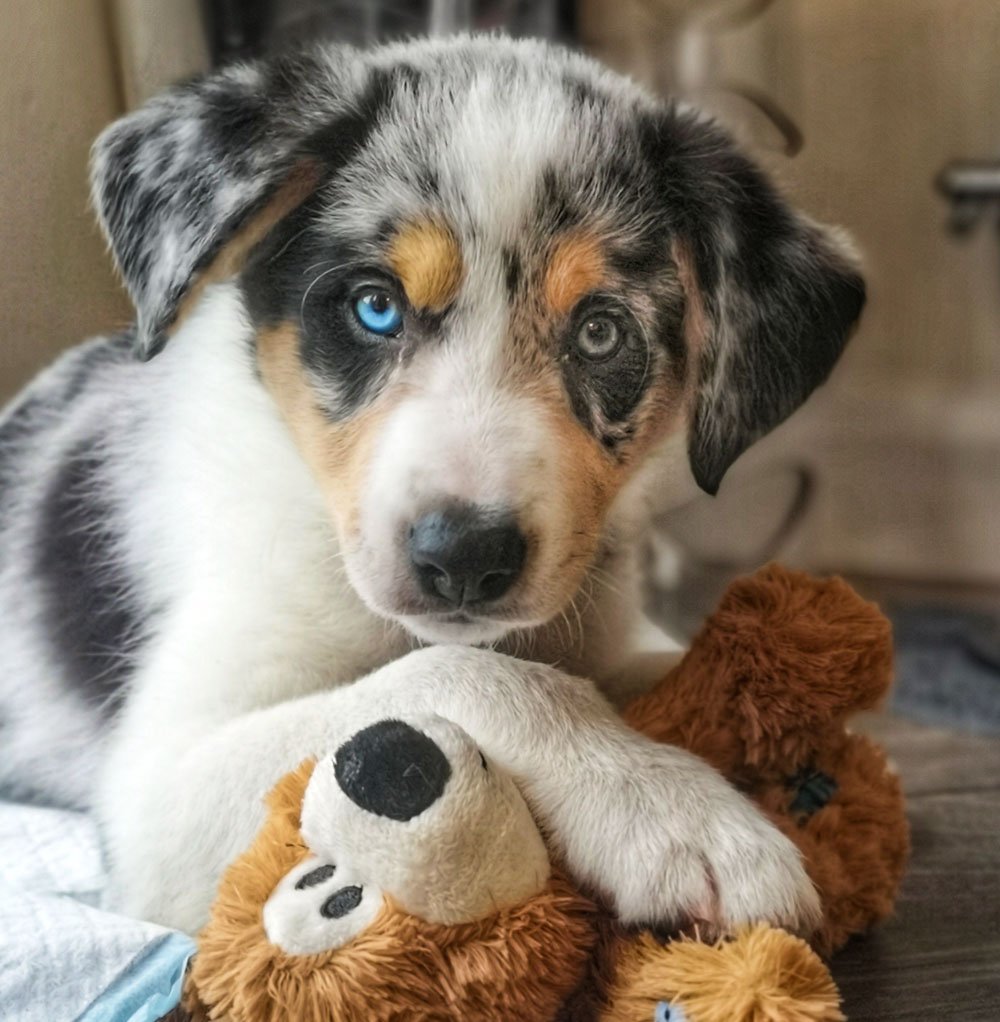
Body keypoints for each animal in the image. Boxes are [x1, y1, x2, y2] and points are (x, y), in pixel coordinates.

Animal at [0, 37, 858, 936]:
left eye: (600, 332)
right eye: (375, 307)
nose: (466, 556)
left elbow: (645, 661)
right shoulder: (157, 792)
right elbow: (454, 676)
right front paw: (673, 811)